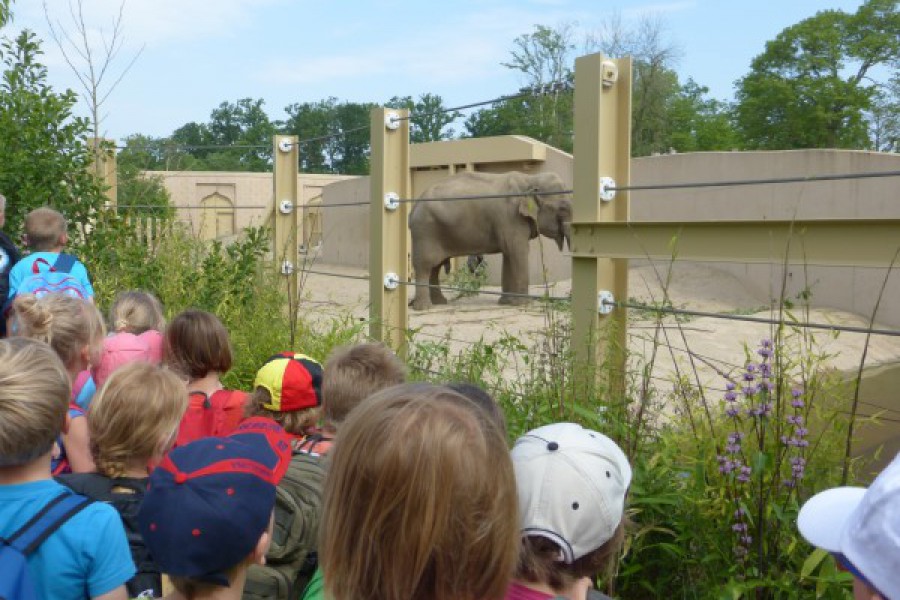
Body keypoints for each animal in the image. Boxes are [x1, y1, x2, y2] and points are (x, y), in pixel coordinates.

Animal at [408, 170, 568, 308]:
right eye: (563, 209)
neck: (530, 178)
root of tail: (414, 206)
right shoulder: (511, 218)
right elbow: (518, 251)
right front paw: (523, 304)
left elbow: (509, 253)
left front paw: (506, 303)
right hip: (425, 232)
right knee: (425, 266)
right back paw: (425, 307)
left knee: (435, 267)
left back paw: (439, 303)